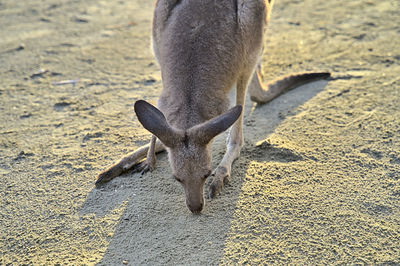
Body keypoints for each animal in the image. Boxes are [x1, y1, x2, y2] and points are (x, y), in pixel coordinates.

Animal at [95, 0, 330, 213]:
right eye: (177, 178)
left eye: (205, 174)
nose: (196, 208)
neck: (189, 104)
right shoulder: (165, 102)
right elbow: (158, 129)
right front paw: (147, 161)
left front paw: (217, 176)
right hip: (158, 21)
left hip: (252, 34)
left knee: (239, 128)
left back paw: (222, 174)